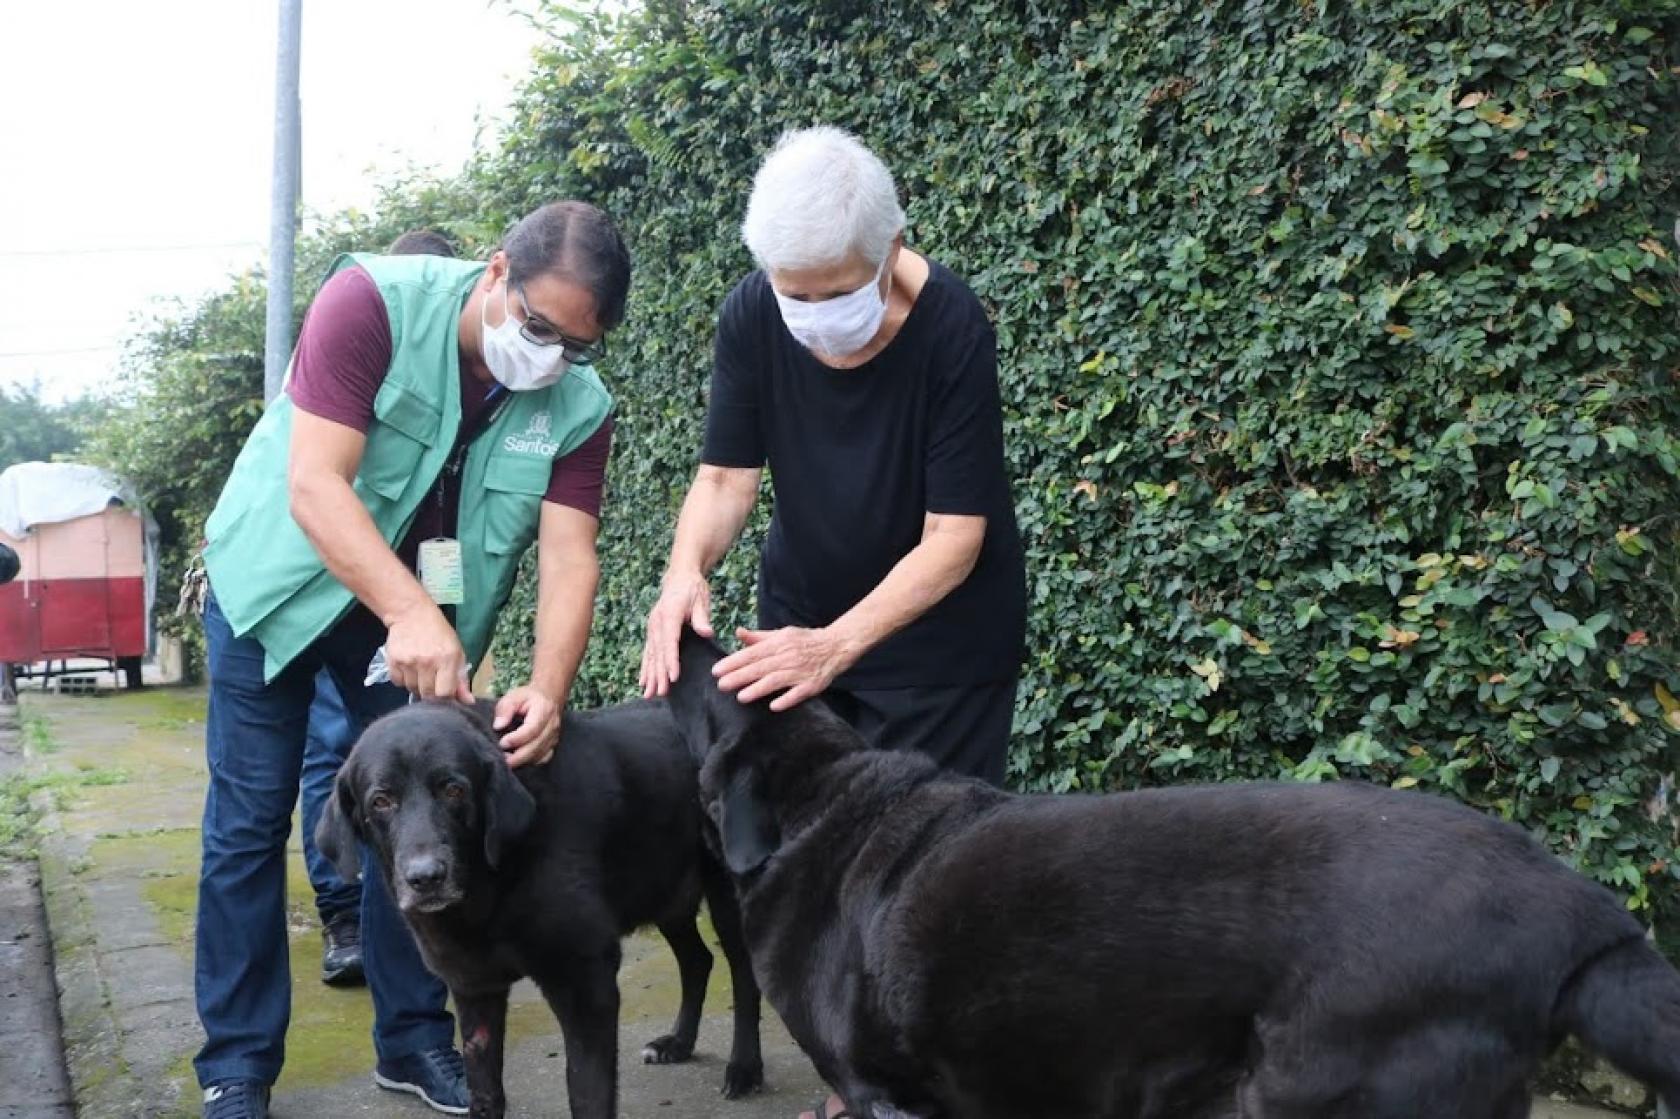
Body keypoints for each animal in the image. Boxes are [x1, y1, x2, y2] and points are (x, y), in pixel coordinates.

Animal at [315, 698, 762, 1115]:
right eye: (381, 801)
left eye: (454, 789)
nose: (425, 878)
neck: (489, 884)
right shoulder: (474, 989)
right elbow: (485, 1093)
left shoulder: (585, 983)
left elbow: (587, 1094)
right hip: (665, 892)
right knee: (698, 960)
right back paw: (680, 1043)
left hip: (728, 898)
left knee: (744, 977)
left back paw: (745, 1069)